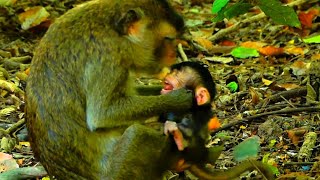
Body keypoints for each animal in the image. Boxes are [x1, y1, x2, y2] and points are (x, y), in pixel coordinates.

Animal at [25, 0, 192, 179]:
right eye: (168, 39)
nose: (174, 54)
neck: (113, 30)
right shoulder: (108, 57)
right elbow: (101, 115)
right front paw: (179, 99)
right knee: (137, 133)